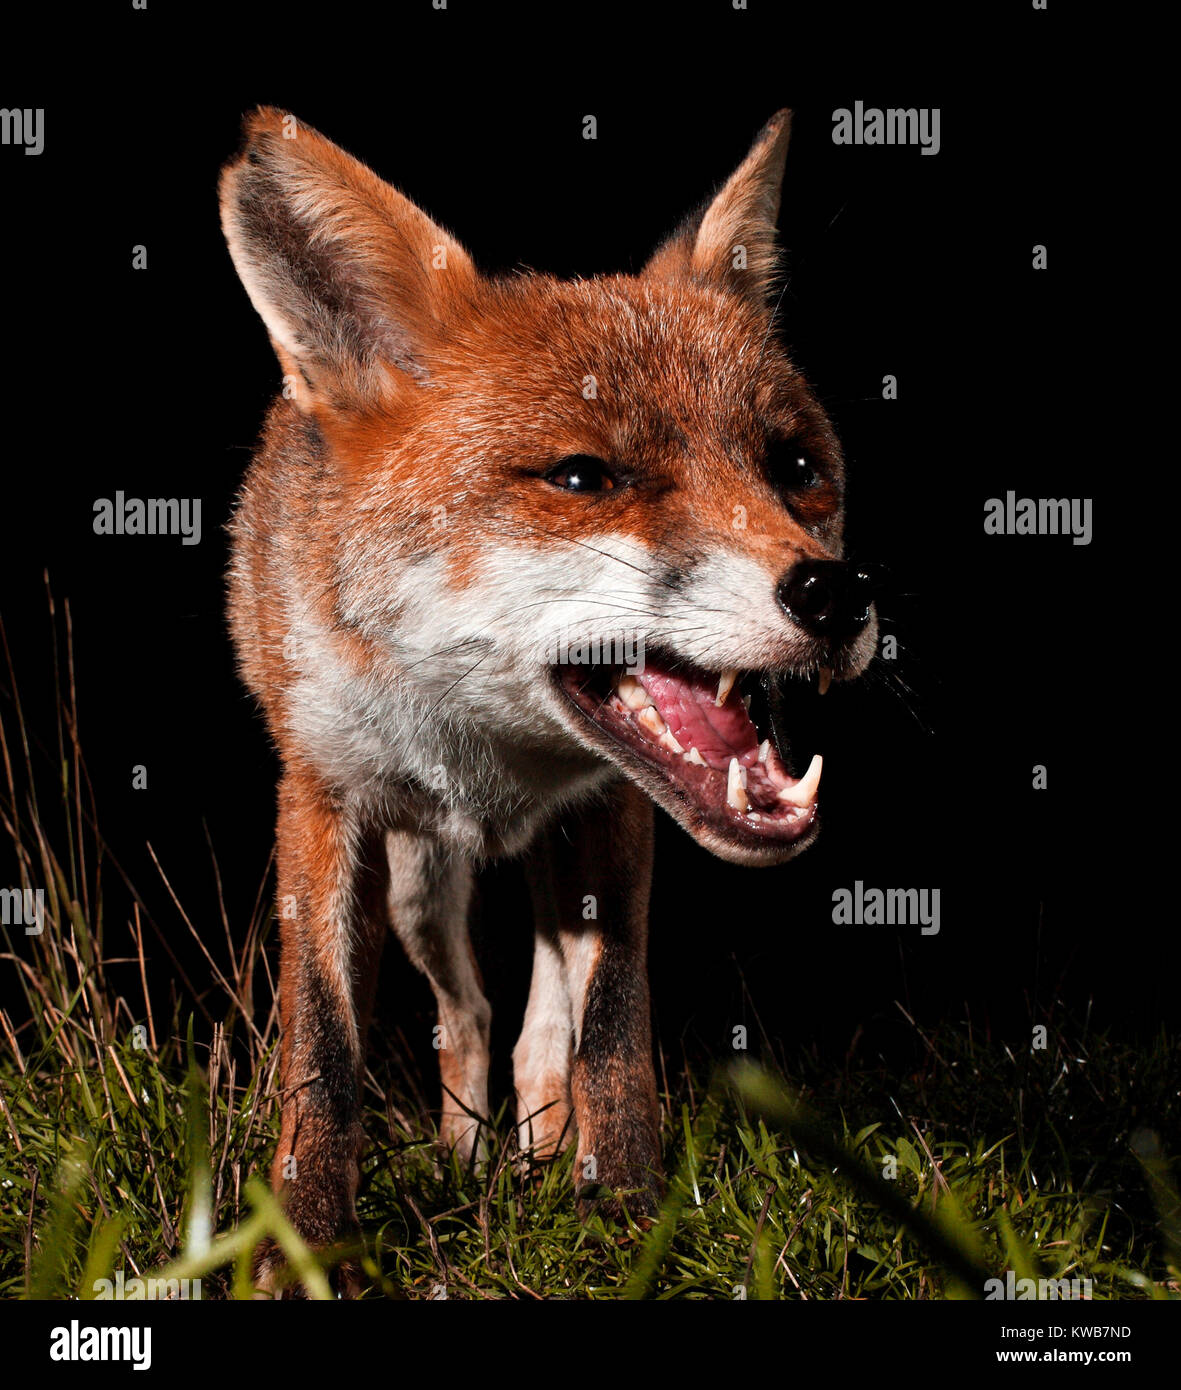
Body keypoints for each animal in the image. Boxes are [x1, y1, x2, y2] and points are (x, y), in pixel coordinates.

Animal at [216, 105, 872, 1289]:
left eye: (793, 467)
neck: (489, 746)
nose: (835, 593)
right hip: (418, 885)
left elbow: (607, 1031)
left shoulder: (614, 810)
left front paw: (623, 1217)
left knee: (537, 1028)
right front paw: (305, 1245)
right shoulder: (320, 800)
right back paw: (468, 1158)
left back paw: (537, 1155)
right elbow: (324, 1055)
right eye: (583, 477)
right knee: (470, 1010)